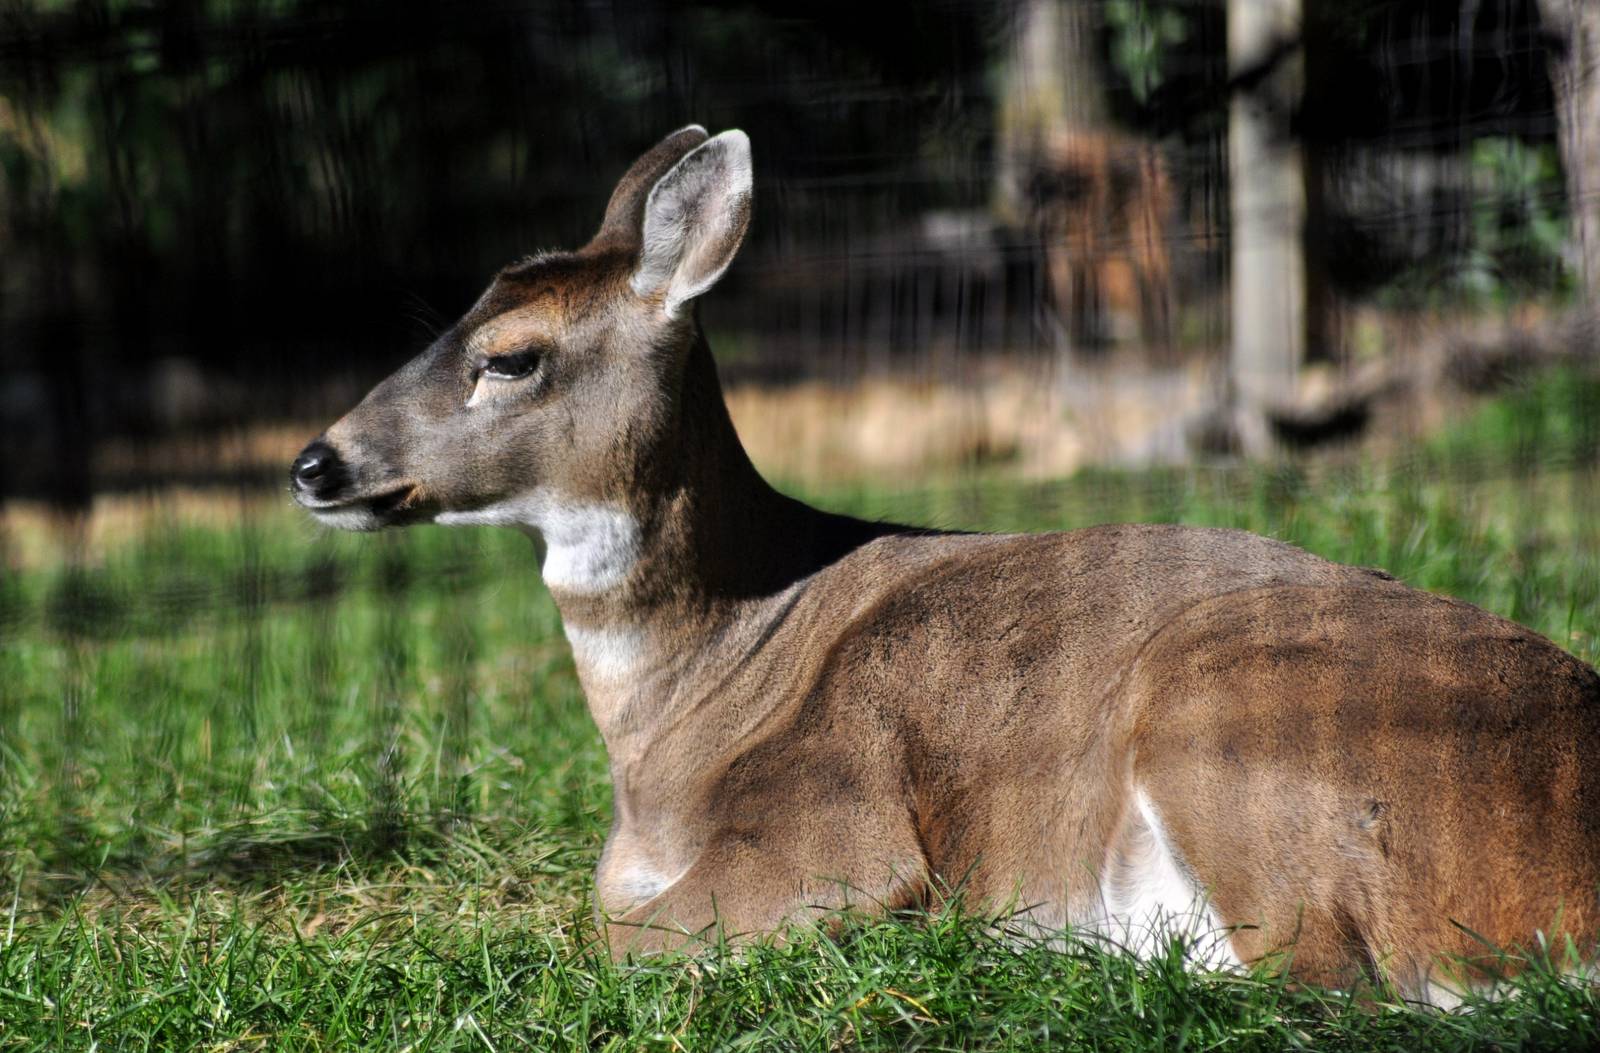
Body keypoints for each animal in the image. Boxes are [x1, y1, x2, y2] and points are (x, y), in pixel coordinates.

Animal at [290, 125, 1600, 1002]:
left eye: (508, 356)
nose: (314, 463)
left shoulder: (834, 820)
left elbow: (609, 938)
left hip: (1228, 712)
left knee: (1319, 971)